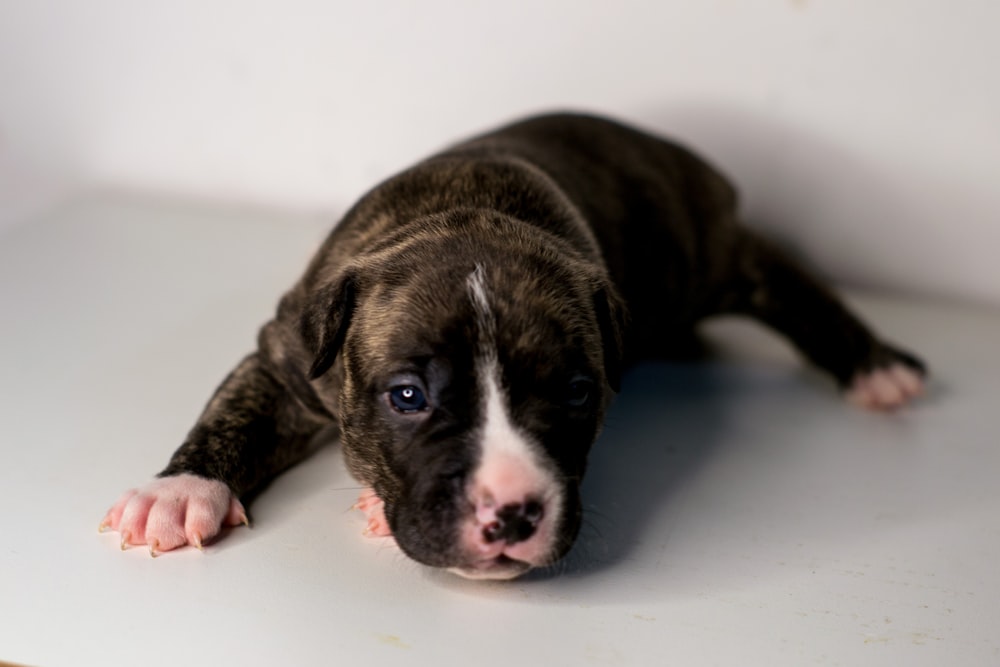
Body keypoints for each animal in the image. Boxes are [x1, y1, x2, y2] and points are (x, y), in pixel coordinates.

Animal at [97, 111, 924, 580]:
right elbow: (232, 413)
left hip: (709, 253)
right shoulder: (288, 356)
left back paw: (875, 363)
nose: (515, 515)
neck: (463, 207)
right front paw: (180, 491)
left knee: (782, 276)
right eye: (407, 396)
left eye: (578, 393)